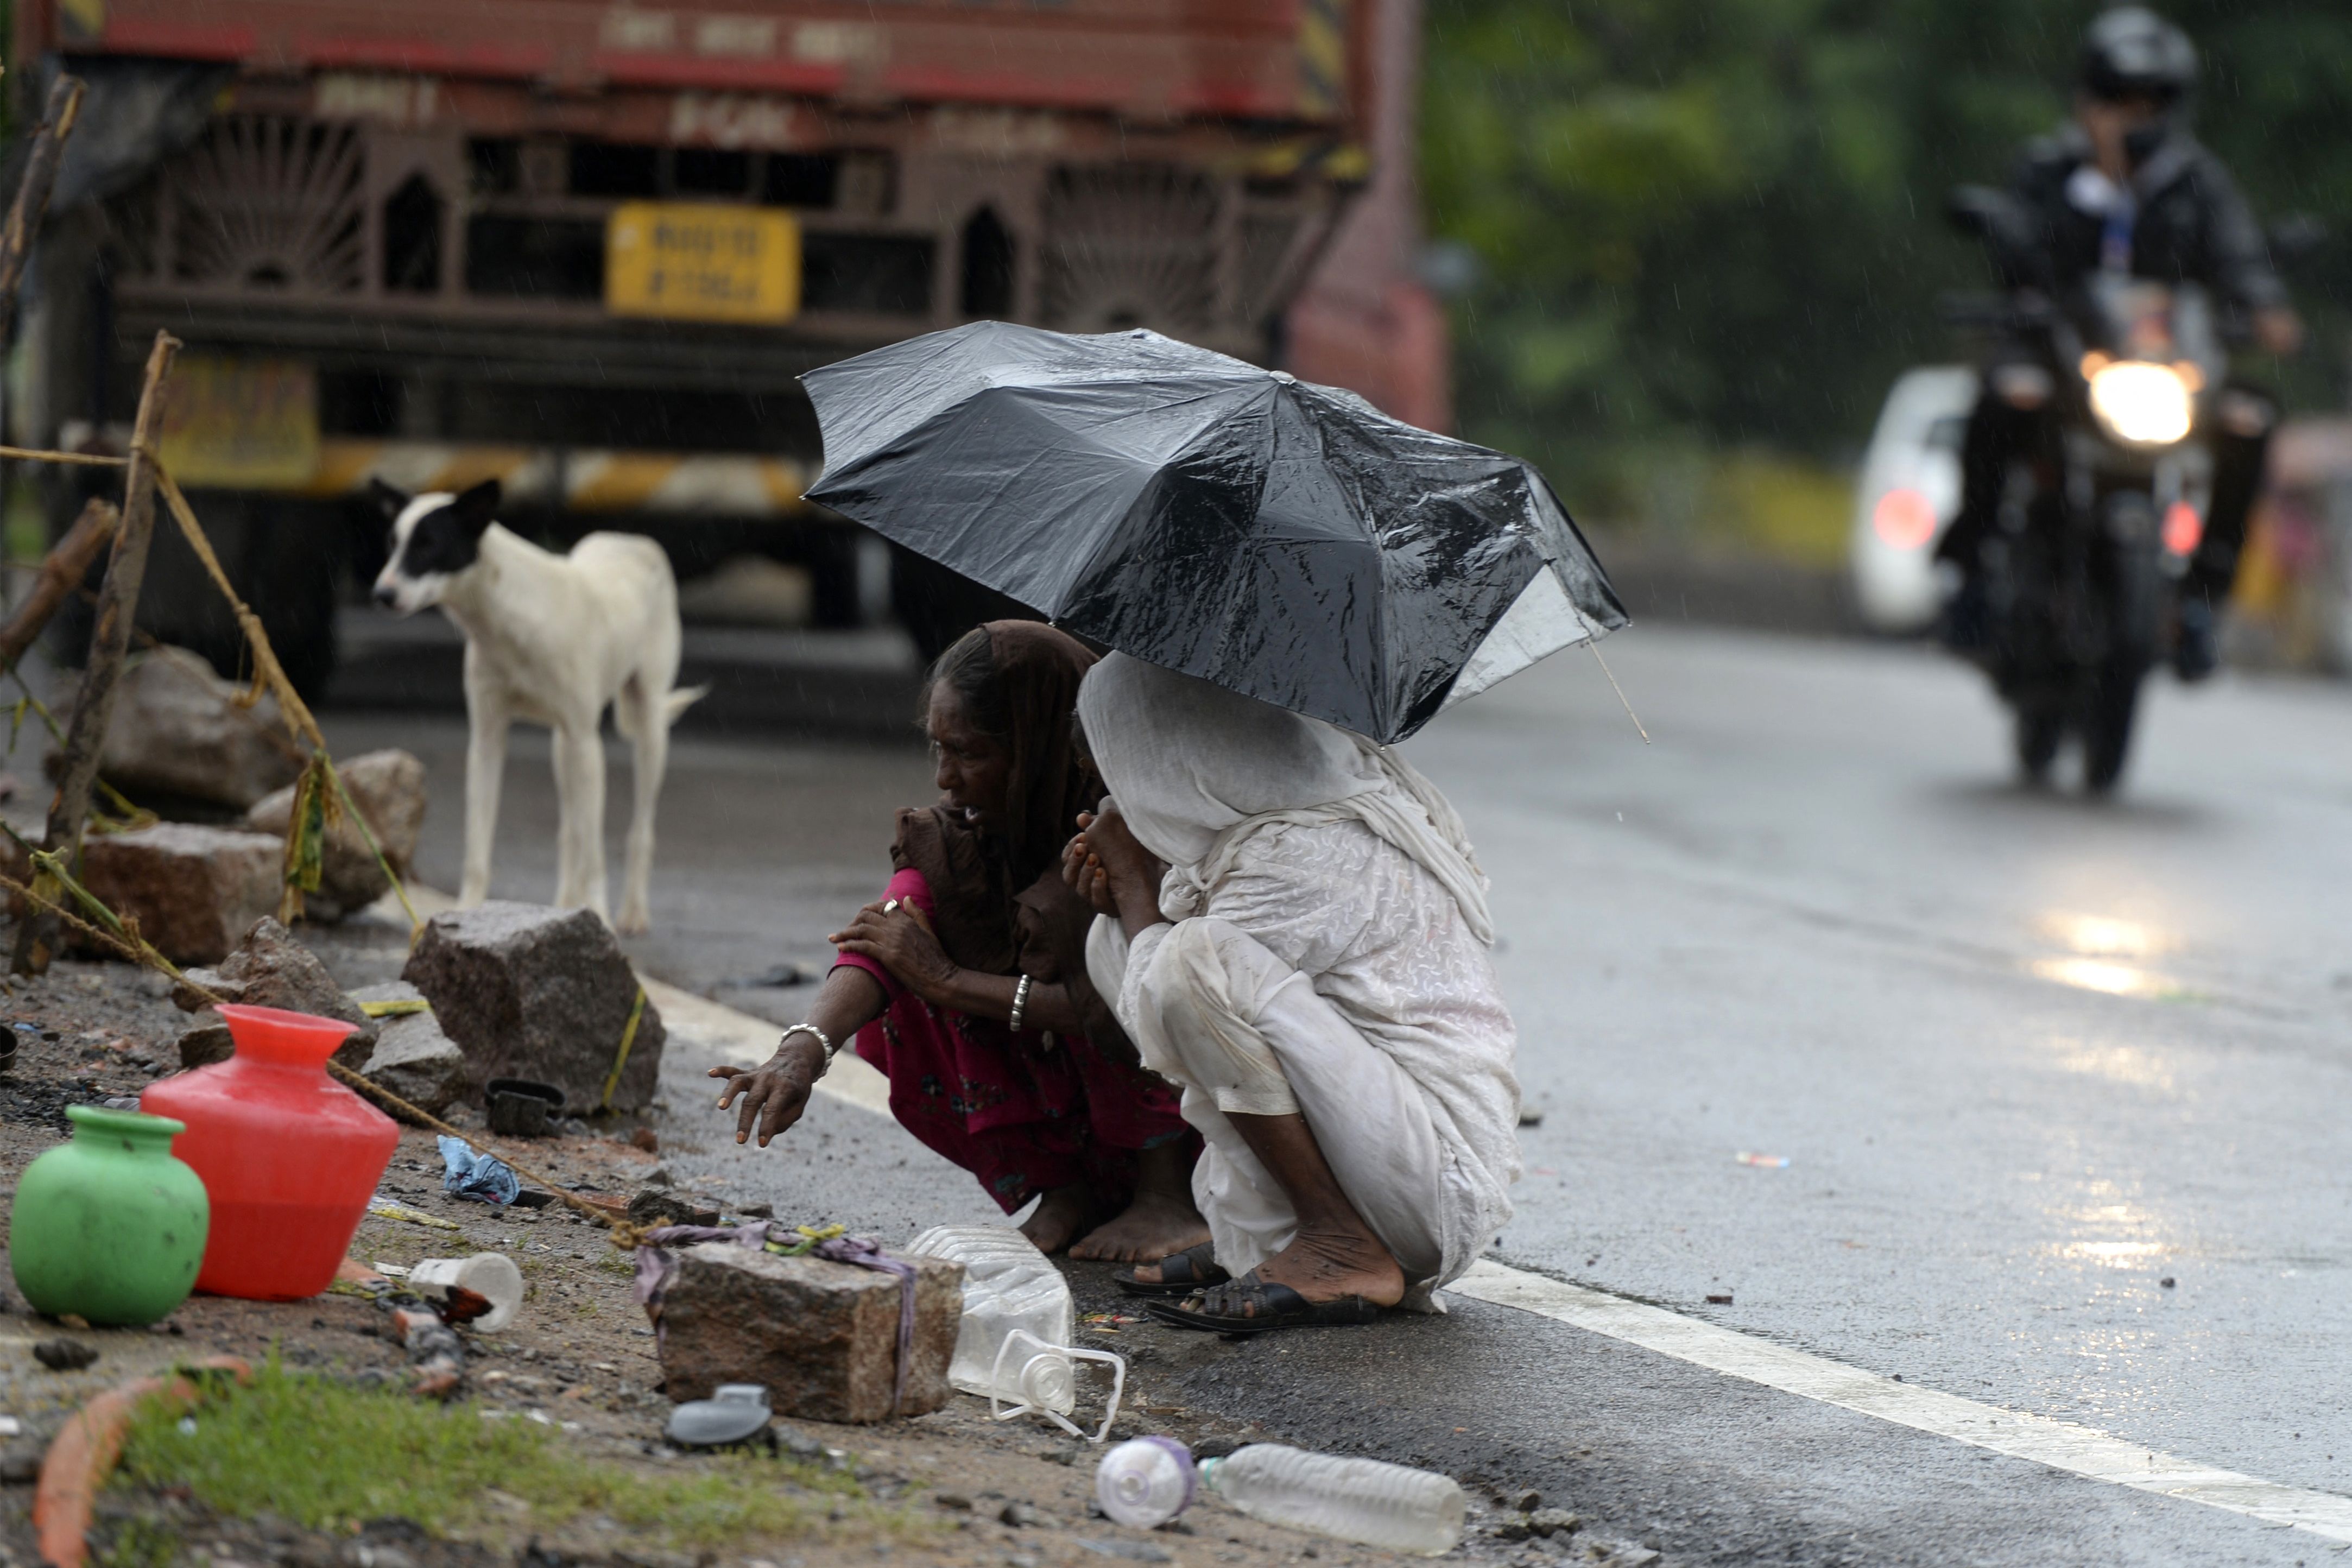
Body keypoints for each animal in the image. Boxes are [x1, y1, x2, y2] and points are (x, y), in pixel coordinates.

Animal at [371, 479, 700, 931]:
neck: (508, 617)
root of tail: (633, 540)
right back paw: (565, 905)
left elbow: (596, 852)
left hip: (646, 727)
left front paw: (600, 914)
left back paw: (632, 912)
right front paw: (466, 913)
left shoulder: (586, 741)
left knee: (637, 829)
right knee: (570, 832)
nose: (381, 594)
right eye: (392, 544)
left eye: (428, 544)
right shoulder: (488, 740)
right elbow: (479, 844)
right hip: (562, 748)